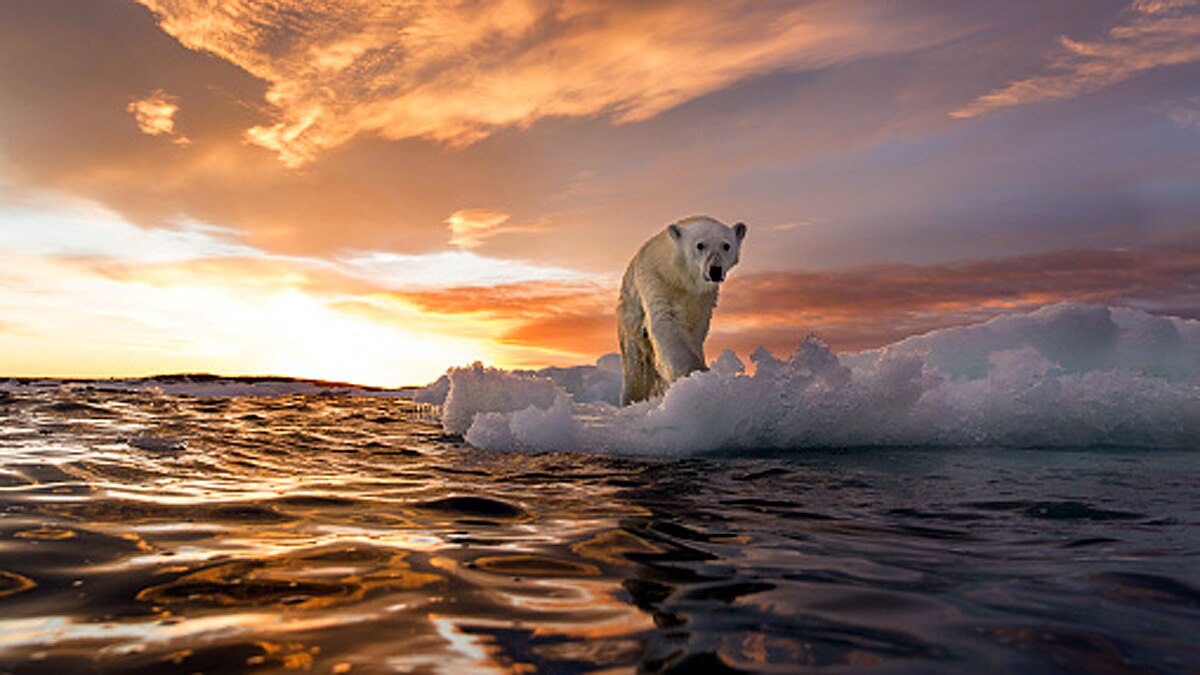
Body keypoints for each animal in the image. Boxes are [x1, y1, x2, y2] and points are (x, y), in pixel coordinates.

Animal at [618, 216, 747, 405]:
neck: (682, 279)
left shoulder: (703, 298)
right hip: (630, 321)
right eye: (700, 245)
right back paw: (632, 399)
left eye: (726, 245)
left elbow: (695, 330)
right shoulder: (659, 282)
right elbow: (666, 323)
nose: (715, 270)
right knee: (636, 365)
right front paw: (695, 375)